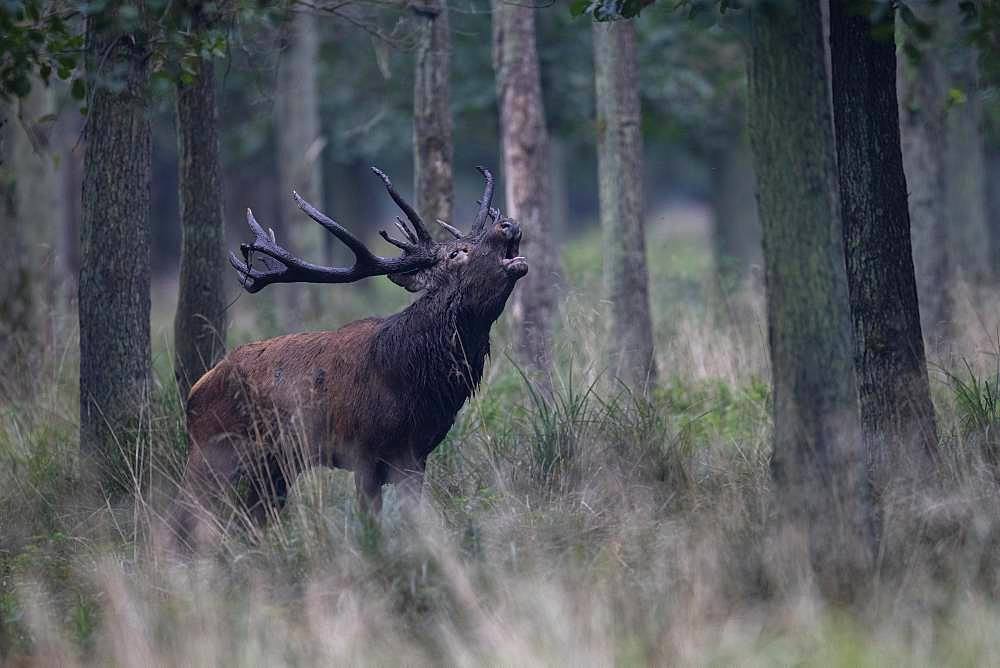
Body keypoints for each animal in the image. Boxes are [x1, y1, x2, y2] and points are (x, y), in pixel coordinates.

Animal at [170, 167, 532, 548]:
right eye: (456, 254)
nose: (507, 223)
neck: (416, 381)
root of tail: (195, 390)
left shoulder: (415, 456)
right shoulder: (364, 452)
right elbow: (369, 522)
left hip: (273, 467)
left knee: (251, 518)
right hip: (210, 453)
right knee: (182, 514)